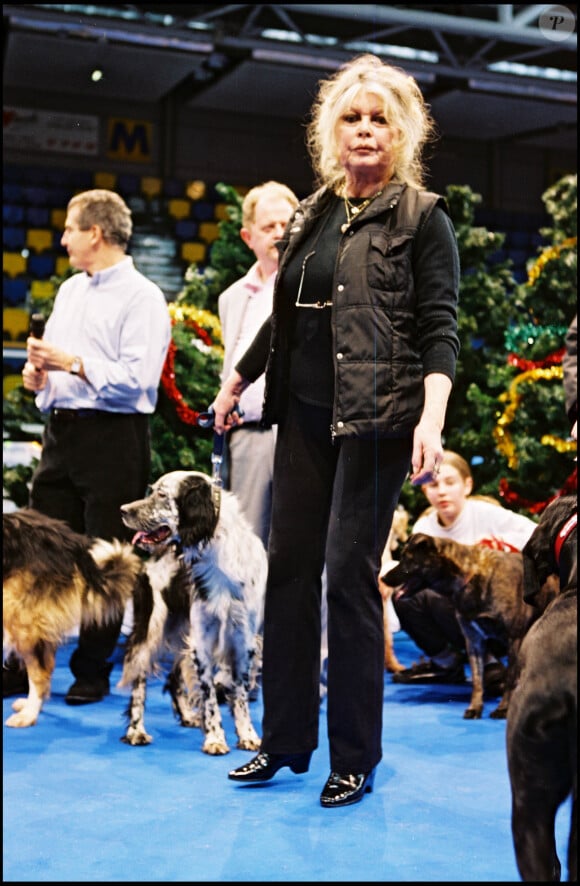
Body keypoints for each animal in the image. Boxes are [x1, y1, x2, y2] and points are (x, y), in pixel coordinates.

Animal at [118, 472, 268, 756]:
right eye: (152, 490)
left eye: (161, 495)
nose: (123, 510)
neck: (217, 554)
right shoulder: (202, 640)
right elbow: (209, 696)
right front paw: (215, 738)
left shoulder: (243, 638)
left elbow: (240, 693)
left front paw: (247, 734)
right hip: (151, 627)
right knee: (139, 682)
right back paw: (136, 731)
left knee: (174, 676)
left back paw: (187, 715)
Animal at [380, 536, 556, 720]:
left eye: (408, 559)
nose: (383, 578)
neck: (470, 575)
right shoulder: (474, 641)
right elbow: (477, 681)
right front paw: (475, 707)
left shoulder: (515, 639)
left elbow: (509, 679)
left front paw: (503, 708)